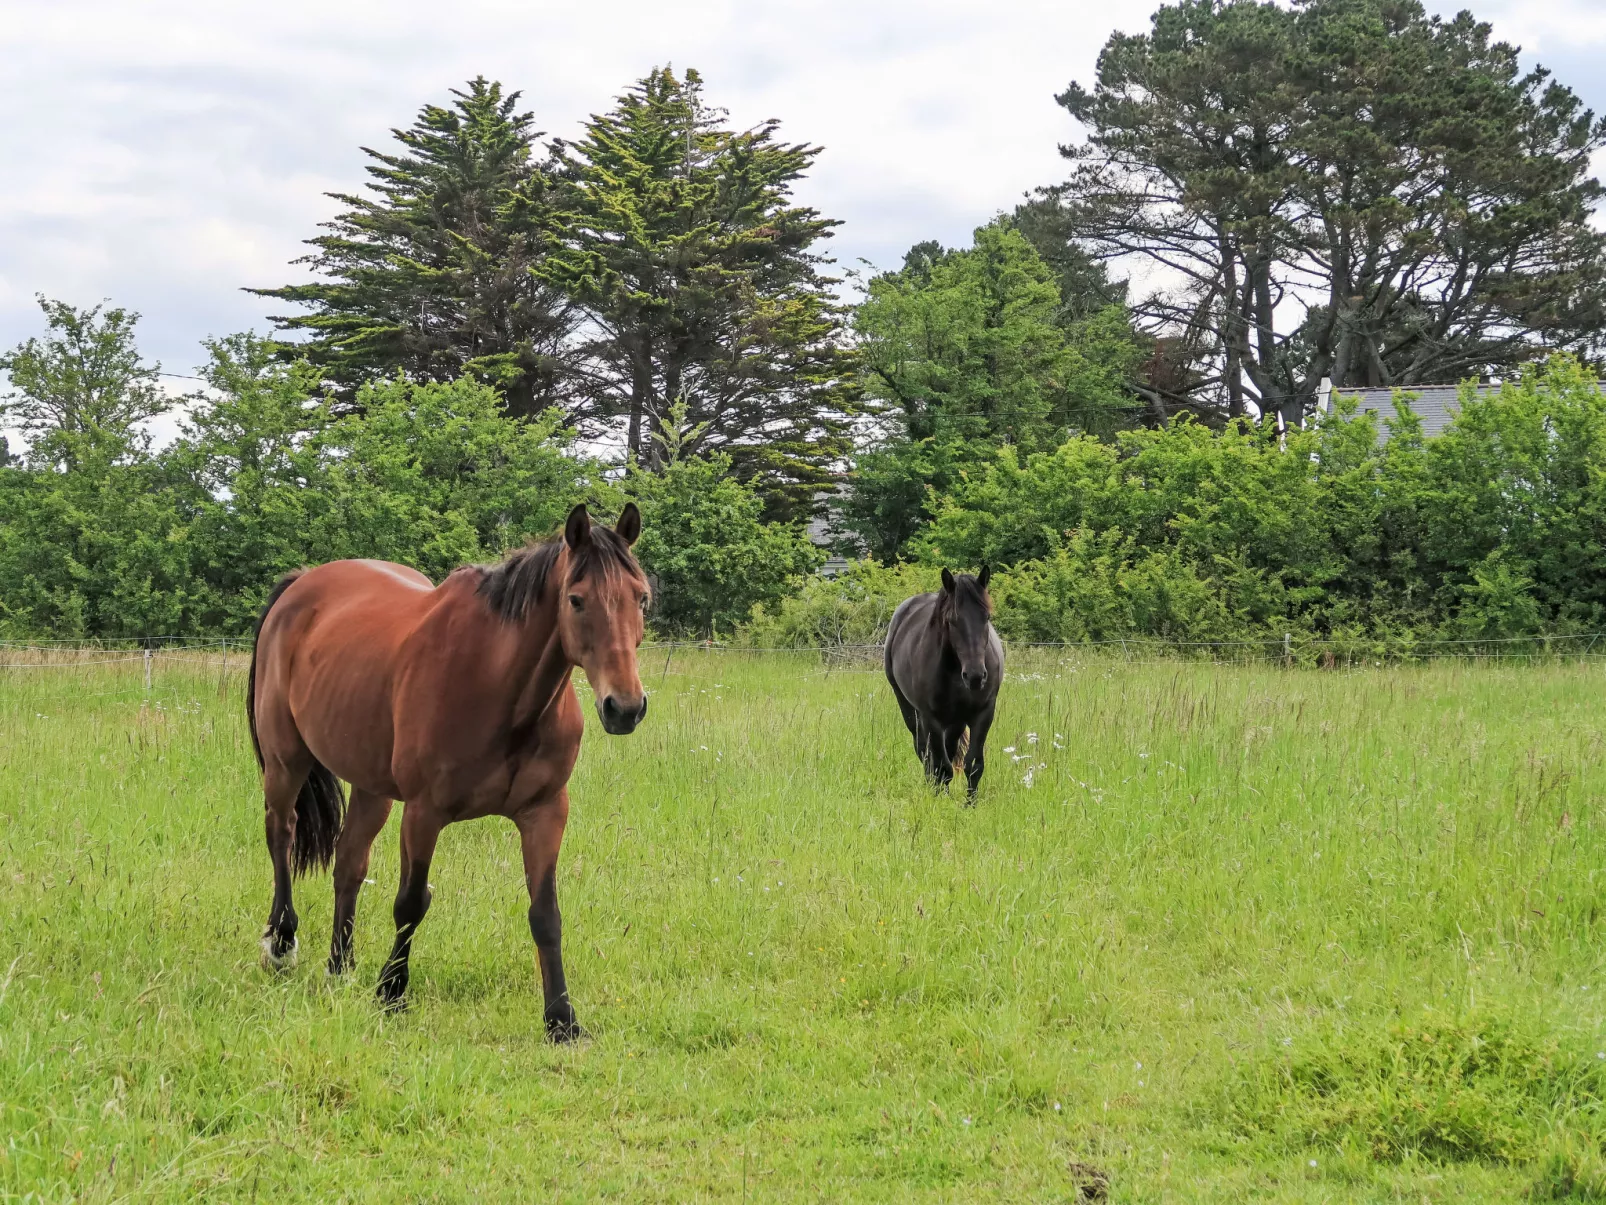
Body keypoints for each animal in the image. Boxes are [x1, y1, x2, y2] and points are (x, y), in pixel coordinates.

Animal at [244, 501, 645, 1041]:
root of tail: (301, 584)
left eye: (641, 597)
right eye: (577, 600)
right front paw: (391, 994)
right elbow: (411, 902)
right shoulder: (423, 812)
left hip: (372, 787)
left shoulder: (545, 812)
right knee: (281, 835)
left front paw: (561, 1020)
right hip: (286, 763)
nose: (624, 707)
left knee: (349, 863)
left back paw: (340, 967)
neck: (501, 690)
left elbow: (546, 914)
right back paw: (282, 944)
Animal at [886, 568, 995, 803]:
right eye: (952, 620)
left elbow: (974, 765)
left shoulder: (983, 714)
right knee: (925, 752)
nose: (975, 676)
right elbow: (941, 766)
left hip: (955, 721)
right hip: (910, 710)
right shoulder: (931, 718)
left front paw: (970, 804)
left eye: (987, 617)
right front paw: (940, 801)